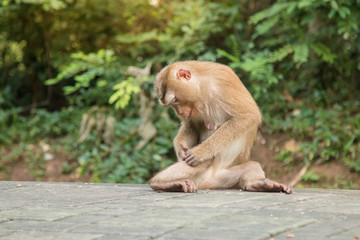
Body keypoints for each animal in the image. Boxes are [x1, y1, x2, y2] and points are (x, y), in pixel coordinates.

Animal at [149, 61, 292, 194]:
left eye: (174, 101)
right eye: (171, 105)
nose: (179, 113)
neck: (202, 87)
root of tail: (207, 182)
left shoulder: (223, 82)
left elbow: (247, 116)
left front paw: (201, 152)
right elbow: (191, 125)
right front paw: (180, 148)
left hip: (223, 176)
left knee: (249, 164)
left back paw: (257, 184)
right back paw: (162, 183)